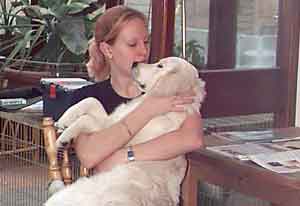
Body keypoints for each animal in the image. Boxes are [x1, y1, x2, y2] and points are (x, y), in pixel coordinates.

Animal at [45, 56, 206, 206]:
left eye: (160, 66)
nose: (134, 63)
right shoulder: (112, 119)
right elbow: (90, 100)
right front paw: (64, 120)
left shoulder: (109, 129)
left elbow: (86, 119)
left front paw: (63, 138)